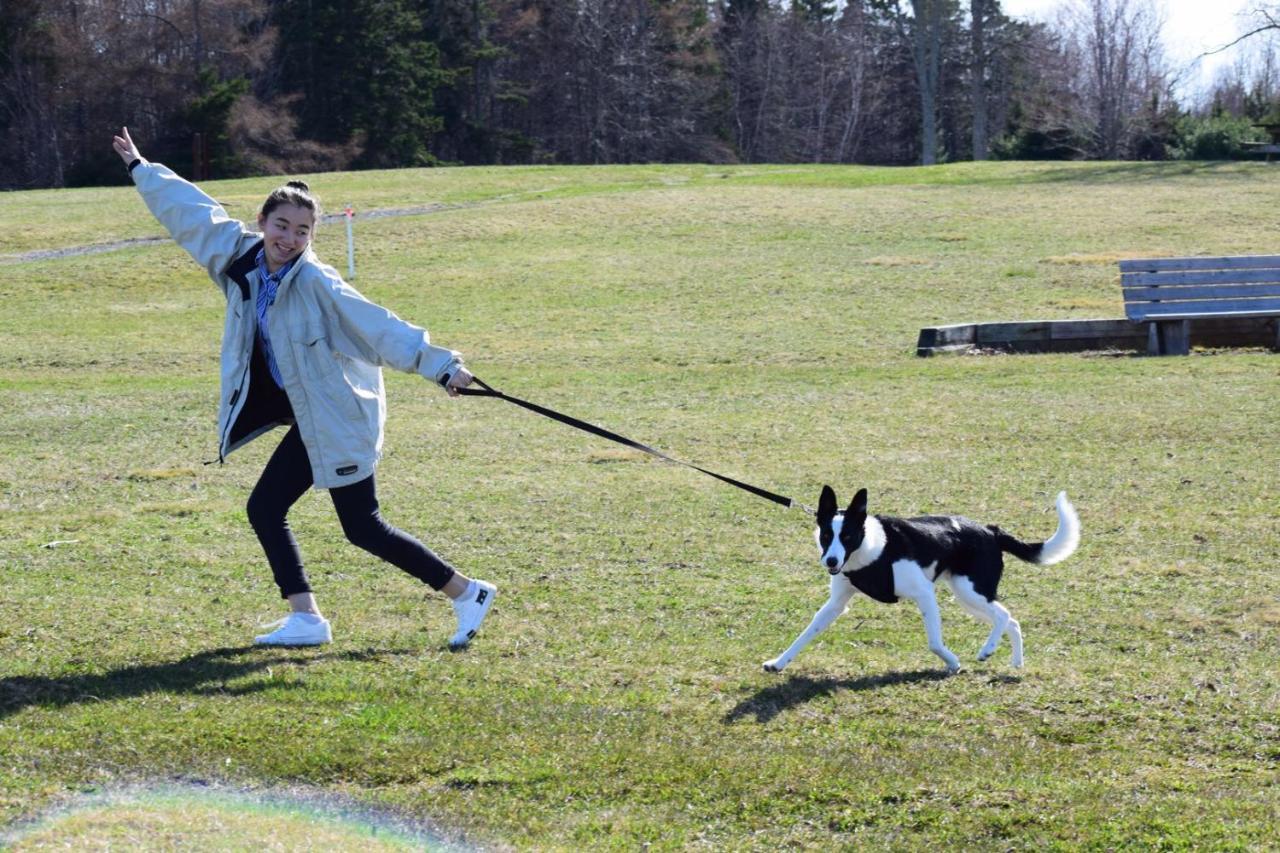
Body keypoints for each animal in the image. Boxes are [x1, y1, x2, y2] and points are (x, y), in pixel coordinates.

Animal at [757, 484, 1080, 671]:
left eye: (847, 536)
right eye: (826, 535)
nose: (831, 561)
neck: (870, 549)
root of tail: (990, 530)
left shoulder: (924, 593)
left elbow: (934, 643)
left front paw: (953, 663)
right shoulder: (836, 604)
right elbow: (806, 633)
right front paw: (779, 662)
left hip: (971, 590)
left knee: (1003, 616)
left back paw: (987, 650)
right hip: (968, 595)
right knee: (1011, 620)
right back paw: (1016, 663)